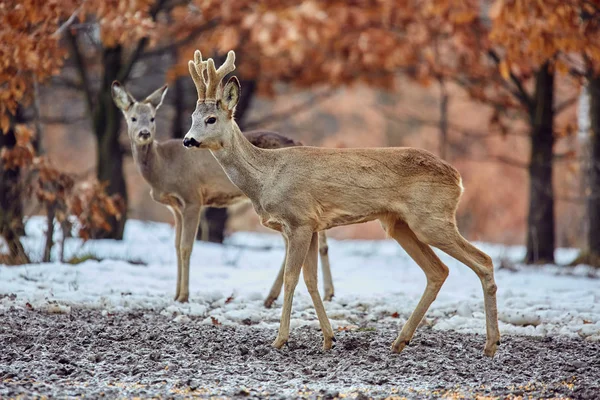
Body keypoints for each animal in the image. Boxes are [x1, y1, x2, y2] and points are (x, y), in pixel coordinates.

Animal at [109, 81, 332, 304]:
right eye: (132, 118)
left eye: (152, 118)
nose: (144, 133)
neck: (163, 167)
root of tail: (299, 143)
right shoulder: (175, 207)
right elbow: (175, 246)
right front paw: (175, 294)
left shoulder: (192, 197)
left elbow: (186, 247)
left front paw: (183, 296)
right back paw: (276, 297)